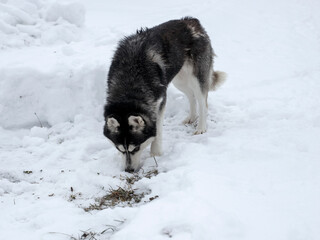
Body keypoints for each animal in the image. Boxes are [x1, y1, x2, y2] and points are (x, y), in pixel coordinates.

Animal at [102, 17, 225, 172]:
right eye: (120, 149)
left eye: (136, 148)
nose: (128, 170)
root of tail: (191, 20)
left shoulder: (160, 102)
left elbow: (158, 130)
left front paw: (155, 153)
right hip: (180, 80)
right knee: (191, 97)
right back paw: (191, 117)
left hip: (197, 78)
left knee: (203, 102)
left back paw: (201, 127)